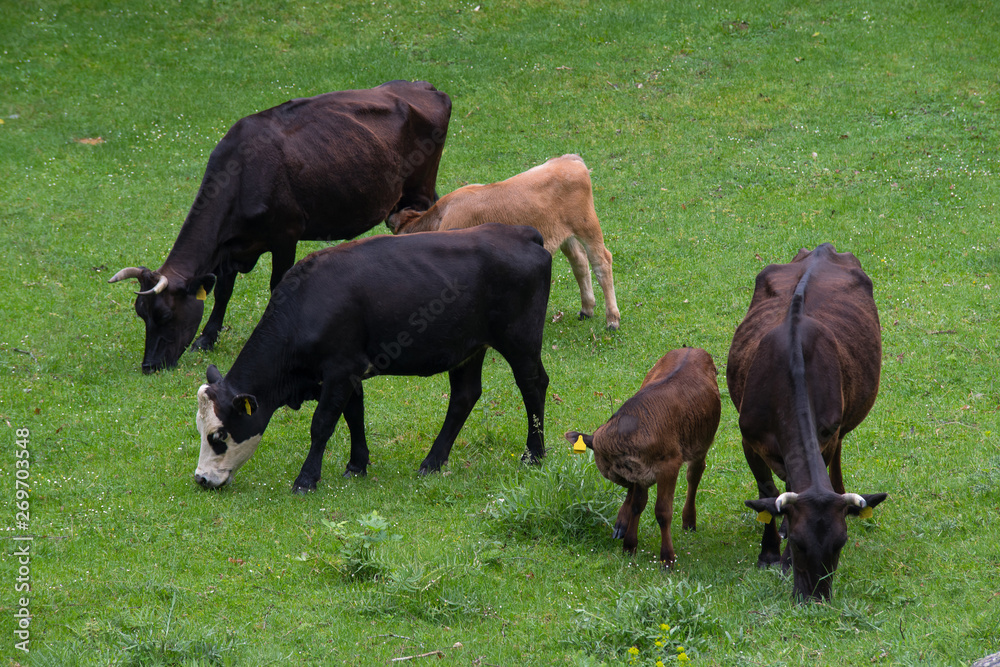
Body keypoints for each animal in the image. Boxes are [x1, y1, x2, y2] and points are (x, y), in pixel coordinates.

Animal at [110, 80, 452, 373]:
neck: (242, 175)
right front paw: (207, 338)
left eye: (165, 314)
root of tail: (422, 86)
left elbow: (277, 286)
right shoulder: (231, 247)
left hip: (419, 185)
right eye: (141, 313)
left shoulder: (285, 236)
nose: (149, 366)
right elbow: (223, 291)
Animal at [193, 224, 552, 493]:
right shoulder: (349, 372)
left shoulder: (339, 369)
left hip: (520, 341)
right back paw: (433, 461)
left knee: (533, 385)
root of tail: (521, 233)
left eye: (218, 436)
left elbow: (322, 424)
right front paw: (357, 464)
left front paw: (306, 479)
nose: (201, 479)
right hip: (469, 348)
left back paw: (533, 455)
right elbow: (354, 415)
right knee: (464, 396)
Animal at [386, 154, 621, 330]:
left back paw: (612, 320)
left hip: (587, 227)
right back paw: (587, 309)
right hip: (567, 236)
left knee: (602, 263)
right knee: (580, 263)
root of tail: (570, 160)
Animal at [564, 347, 721, 566]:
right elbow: (637, 504)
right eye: (617, 476)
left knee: (694, 474)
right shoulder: (640, 472)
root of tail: (690, 348)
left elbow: (662, 512)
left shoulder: (669, 466)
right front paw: (629, 545)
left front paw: (667, 558)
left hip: (701, 442)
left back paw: (689, 520)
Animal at [726, 243, 887, 601]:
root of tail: (821, 249)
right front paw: (770, 552)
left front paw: (782, 557)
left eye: (841, 543)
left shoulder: (826, 433)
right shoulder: (749, 439)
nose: (815, 597)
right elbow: (769, 490)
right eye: (800, 544)